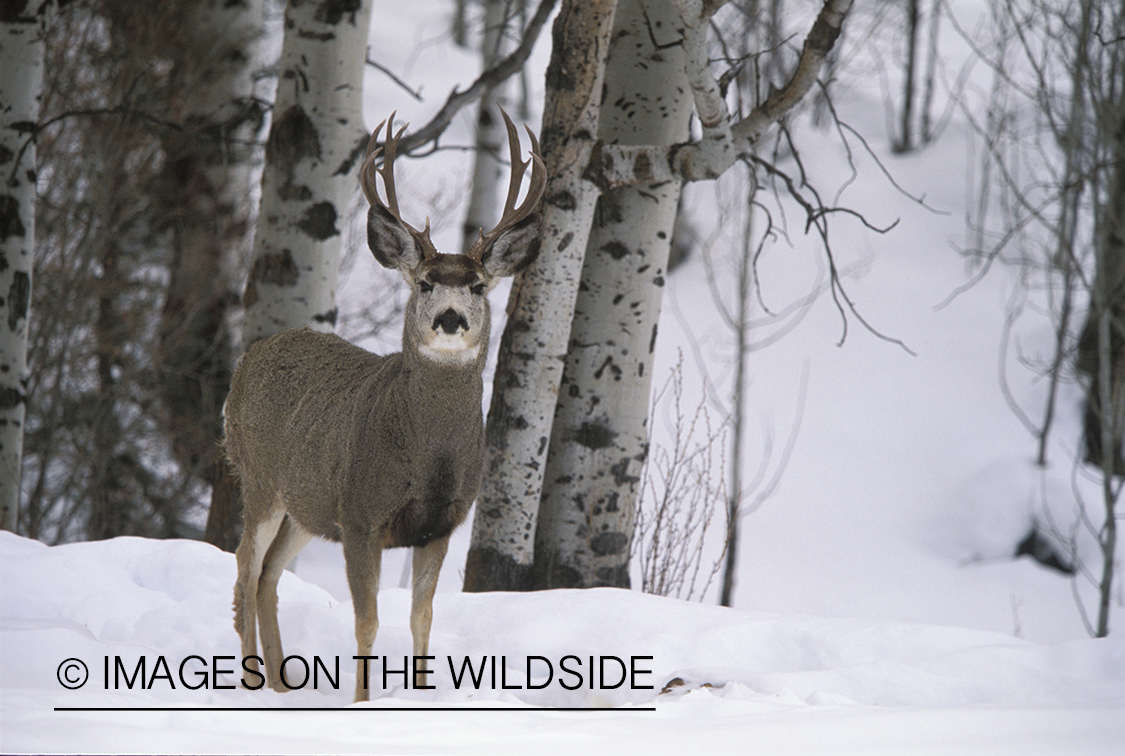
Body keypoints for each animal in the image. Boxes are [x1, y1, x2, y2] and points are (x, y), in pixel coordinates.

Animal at [223, 109, 545, 703]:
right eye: (425, 283)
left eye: (479, 286)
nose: (449, 318)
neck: (428, 457)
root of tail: (249, 356)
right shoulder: (361, 515)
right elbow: (366, 621)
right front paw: (362, 703)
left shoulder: (440, 526)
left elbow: (423, 619)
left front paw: (418, 698)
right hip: (258, 477)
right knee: (245, 565)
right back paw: (255, 686)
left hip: (307, 503)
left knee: (269, 575)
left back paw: (281, 688)